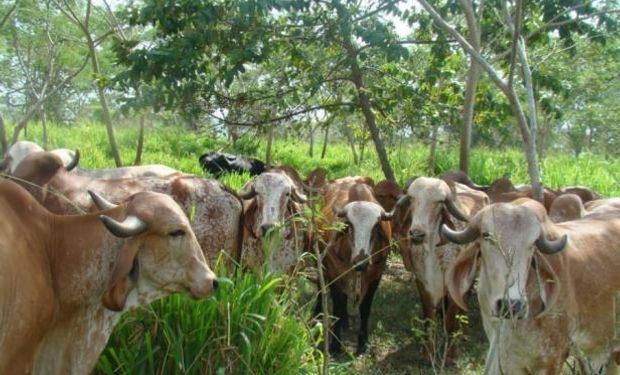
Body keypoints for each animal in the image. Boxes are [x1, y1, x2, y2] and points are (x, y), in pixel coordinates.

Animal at [312, 181, 394, 356]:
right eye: (350, 226)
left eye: (375, 227)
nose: (360, 262)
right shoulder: (334, 273)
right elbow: (337, 306)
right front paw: (335, 345)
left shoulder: (376, 276)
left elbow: (364, 308)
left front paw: (363, 343)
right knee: (321, 289)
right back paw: (318, 314)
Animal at [392, 178, 490, 360]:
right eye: (412, 199)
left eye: (438, 203)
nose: (416, 234)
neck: (433, 253)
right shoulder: (422, 283)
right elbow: (428, 317)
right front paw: (427, 352)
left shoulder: (454, 286)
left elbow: (450, 321)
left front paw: (450, 353)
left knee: (464, 302)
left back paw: (463, 333)